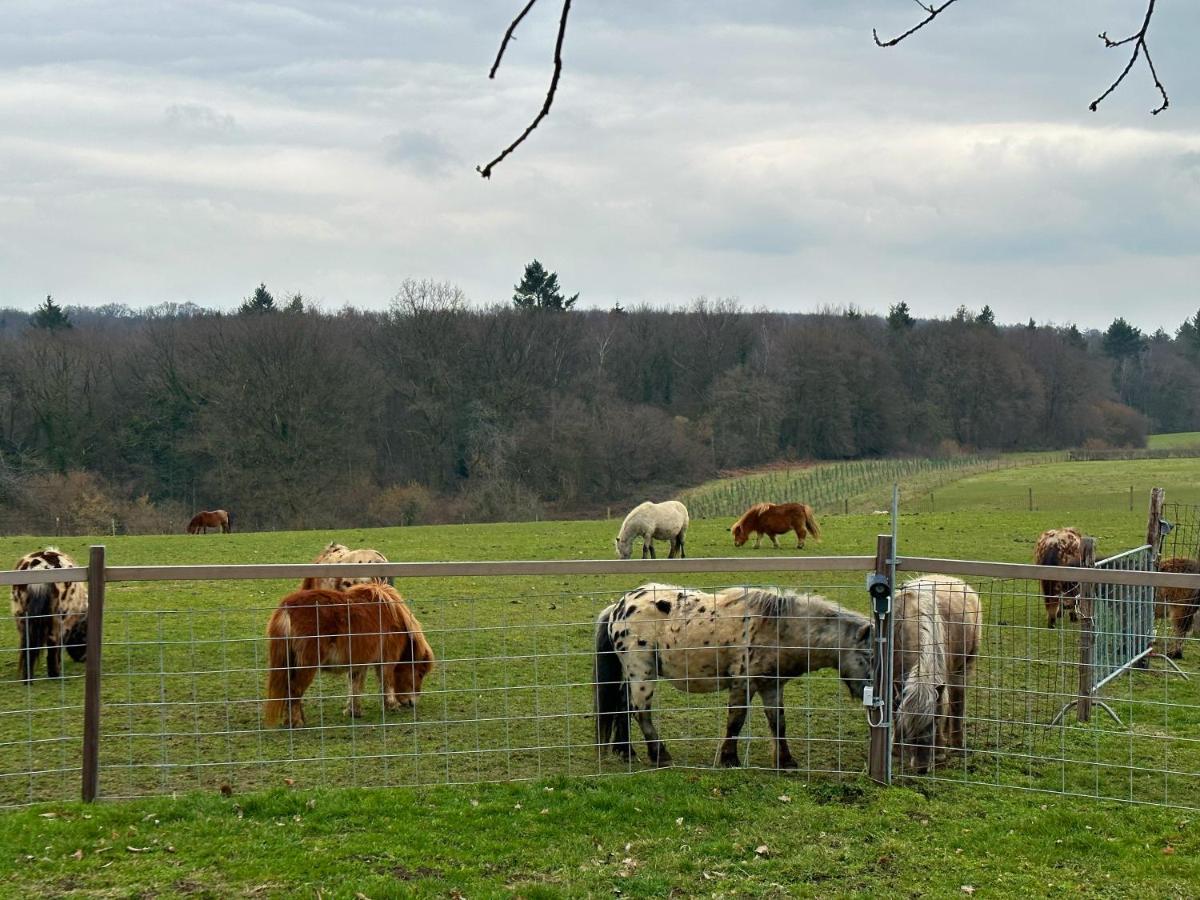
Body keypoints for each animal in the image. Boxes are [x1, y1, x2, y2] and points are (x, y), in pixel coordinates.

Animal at [9, 549, 87, 681]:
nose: (83, 659)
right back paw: (55, 675)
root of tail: (39, 567)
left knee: (27, 645)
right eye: (84, 634)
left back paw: (28, 678)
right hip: (58, 619)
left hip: (21, 617)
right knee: (53, 645)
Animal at [265, 585, 434, 724]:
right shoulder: (387, 659)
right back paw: (296, 722)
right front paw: (392, 706)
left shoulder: (360, 660)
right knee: (294, 690)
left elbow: (355, 685)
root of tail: (287, 608)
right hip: (306, 665)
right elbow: (386, 682)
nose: (413, 703)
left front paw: (354, 711)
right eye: (420, 674)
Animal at [597, 588, 873, 772]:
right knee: (640, 711)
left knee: (623, 705)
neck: (776, 627)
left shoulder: (771, 686)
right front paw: (729, 759)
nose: (872, 695)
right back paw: (659, 754)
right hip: (642, 673)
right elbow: (736, 720)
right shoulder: (743, 683)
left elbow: (778, 724)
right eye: (868, 656)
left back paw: (625, 751)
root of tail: (618, 607)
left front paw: (785, 761)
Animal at [892, 578, 984, 777]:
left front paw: (940, 751)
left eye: (934, 721)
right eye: (908, 726)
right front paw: (895, 748)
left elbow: (945, 707)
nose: (922, 768)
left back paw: (956, 743)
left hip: (962, 669)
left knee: (957, 703)